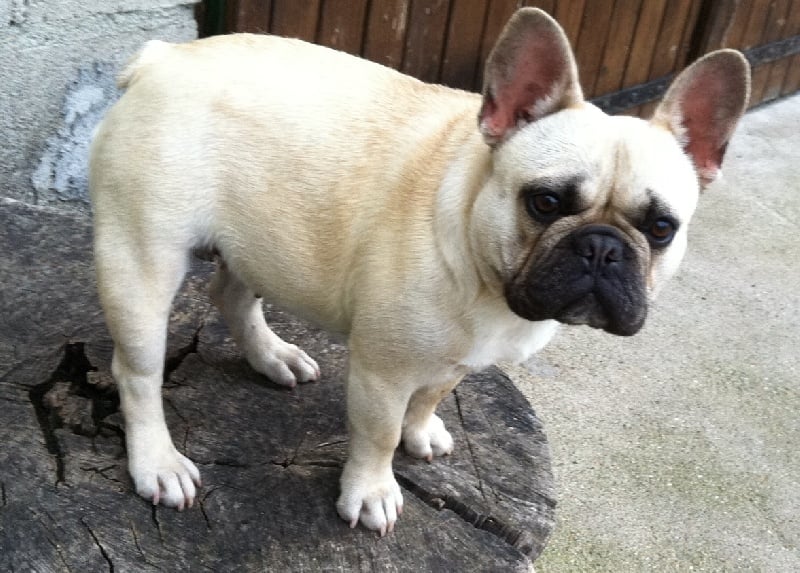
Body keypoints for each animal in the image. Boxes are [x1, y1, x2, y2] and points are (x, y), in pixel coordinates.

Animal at [89, 8, 750, 535]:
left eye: (661, 227)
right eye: (545, 202)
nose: (602, 248)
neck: (488, 277)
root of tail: (162, 58)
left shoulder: (458, 358)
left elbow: (435, 393)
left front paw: (422, 430)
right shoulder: (382, 370)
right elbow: (378, 434)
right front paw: (372, 492)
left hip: (258, 239)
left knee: (232, 294)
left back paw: (273, 355)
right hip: (141, 262)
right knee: (137, 373)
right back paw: (158, 463)